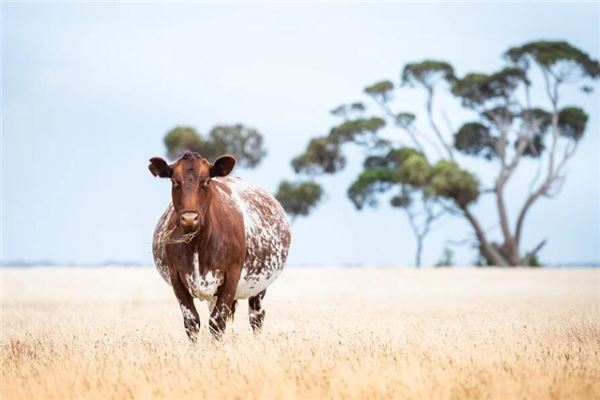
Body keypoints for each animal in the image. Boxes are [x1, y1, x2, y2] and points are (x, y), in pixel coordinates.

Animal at [149, 152, 292, 340]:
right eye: (174, 181)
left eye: (206, 181)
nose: (189, 218)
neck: (198, 244)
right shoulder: (176, 278)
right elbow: (192, 322)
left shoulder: (231, 276)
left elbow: (217, 322)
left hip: (259, 286)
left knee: (256, 316)